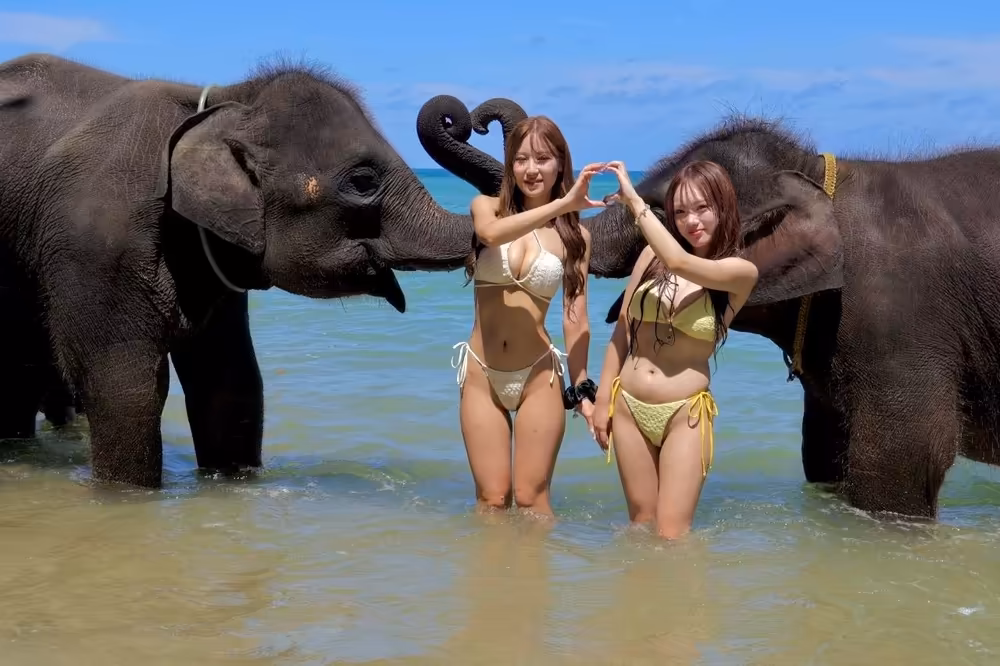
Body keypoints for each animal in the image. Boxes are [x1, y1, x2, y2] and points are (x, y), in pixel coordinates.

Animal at [0, 53, 473, 488]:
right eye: (363, 182)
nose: (459, 118)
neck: (224, 102)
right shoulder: (96, 243)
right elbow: (124, 389)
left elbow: (231, 381)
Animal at [415, 94, 1000, 521]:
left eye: (657, 209)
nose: (470, 119)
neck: (815, 174)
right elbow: (822, 453)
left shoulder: (899, 323)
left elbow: (903, 463)